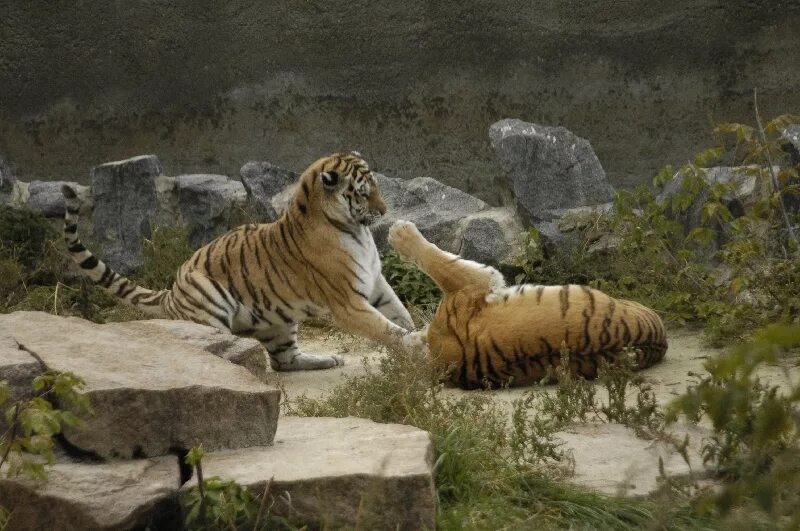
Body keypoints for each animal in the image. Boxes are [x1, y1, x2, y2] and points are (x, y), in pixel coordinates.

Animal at [59, 152, 416, 372]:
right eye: (363, 192)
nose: (385, 211)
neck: (355, 229)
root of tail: (170, 292)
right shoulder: (348, 302)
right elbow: (385, 327)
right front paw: (413, 343)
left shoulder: (376, 282)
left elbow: (399, 312)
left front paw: (418, 332)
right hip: (211, 304)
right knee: (218, 348)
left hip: (280, 323)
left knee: (285, 361)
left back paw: (327, 360)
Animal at [388, 218, 668, 388]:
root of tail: (660, 341)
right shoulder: (473, 284)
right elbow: (435, 261)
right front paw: (399, 233)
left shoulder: (470, 286)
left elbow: (435, 260)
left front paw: (398, 233)